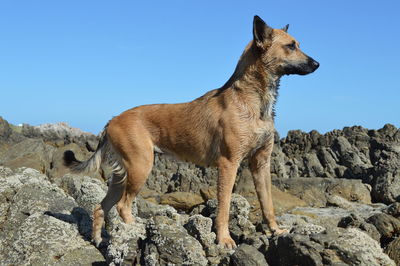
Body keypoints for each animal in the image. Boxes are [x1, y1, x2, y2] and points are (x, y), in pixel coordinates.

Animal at [64, 15, 318, 248]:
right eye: (291, 46)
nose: (317, 64)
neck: (252, 99)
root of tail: (111, 121)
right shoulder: (229, 164)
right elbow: (224, 208)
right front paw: (224, 239)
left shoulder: (261, 163)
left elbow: (268, 204)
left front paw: (276, 231)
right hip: (140, 166)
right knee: (122, 206)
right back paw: (133, 230)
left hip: (122, 175)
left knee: (100, 207)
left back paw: (98, 239)